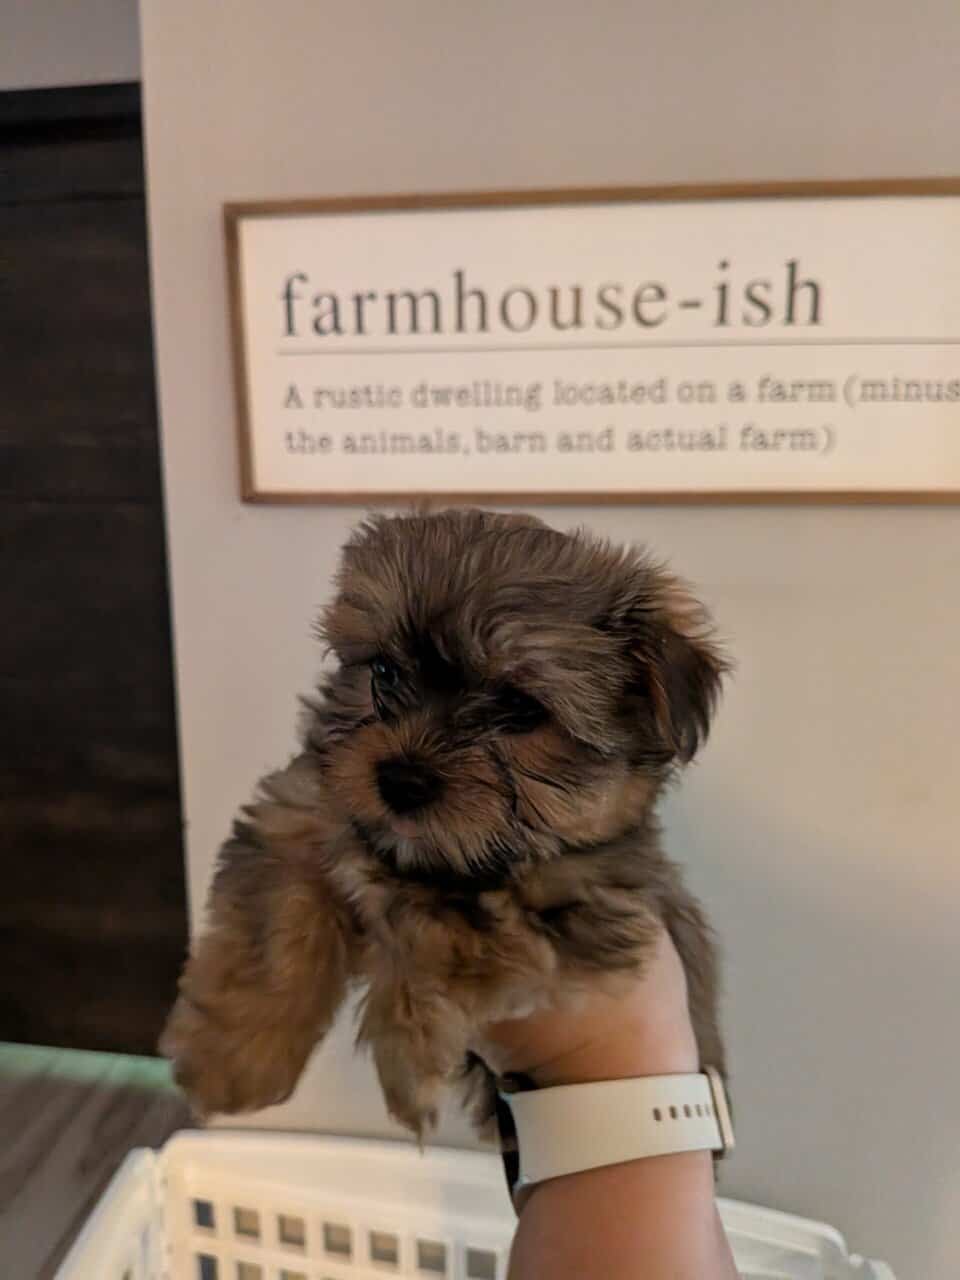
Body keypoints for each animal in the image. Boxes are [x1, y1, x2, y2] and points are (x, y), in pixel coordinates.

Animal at [160, 508, 728, 1137]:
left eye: (521, 709)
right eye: (384, 672)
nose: (401, 781)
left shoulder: (584, 900)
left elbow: (447, 923)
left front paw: (406, 1049)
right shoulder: (298, 814)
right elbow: (277, 924)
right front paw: (236, 1060)